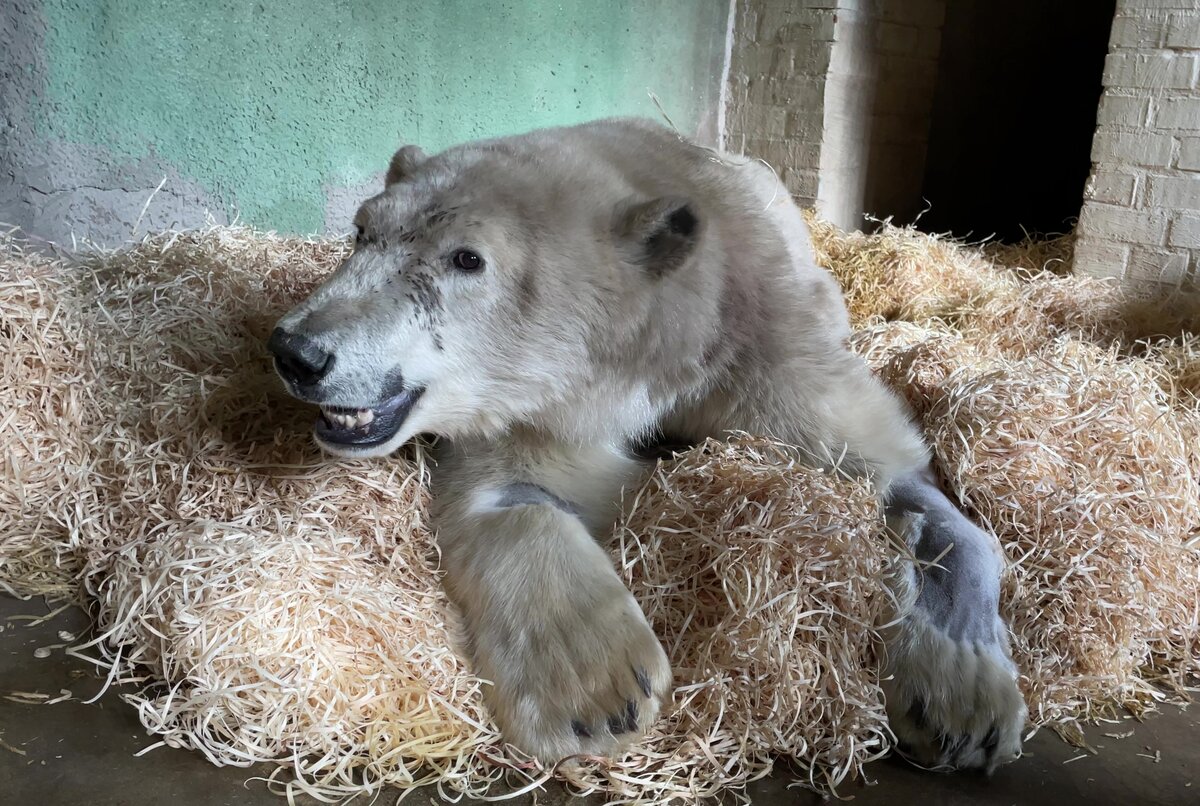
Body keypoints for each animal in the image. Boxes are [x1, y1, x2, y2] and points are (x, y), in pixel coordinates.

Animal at [267, 116, 1027, 772]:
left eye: (467, 259)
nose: (298, 351)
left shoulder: (766, 345)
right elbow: (512, 492)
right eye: (361, 232)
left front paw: (963, 704)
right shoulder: (539, 411)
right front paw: (596, 692)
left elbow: (899, 476)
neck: (668, 338)